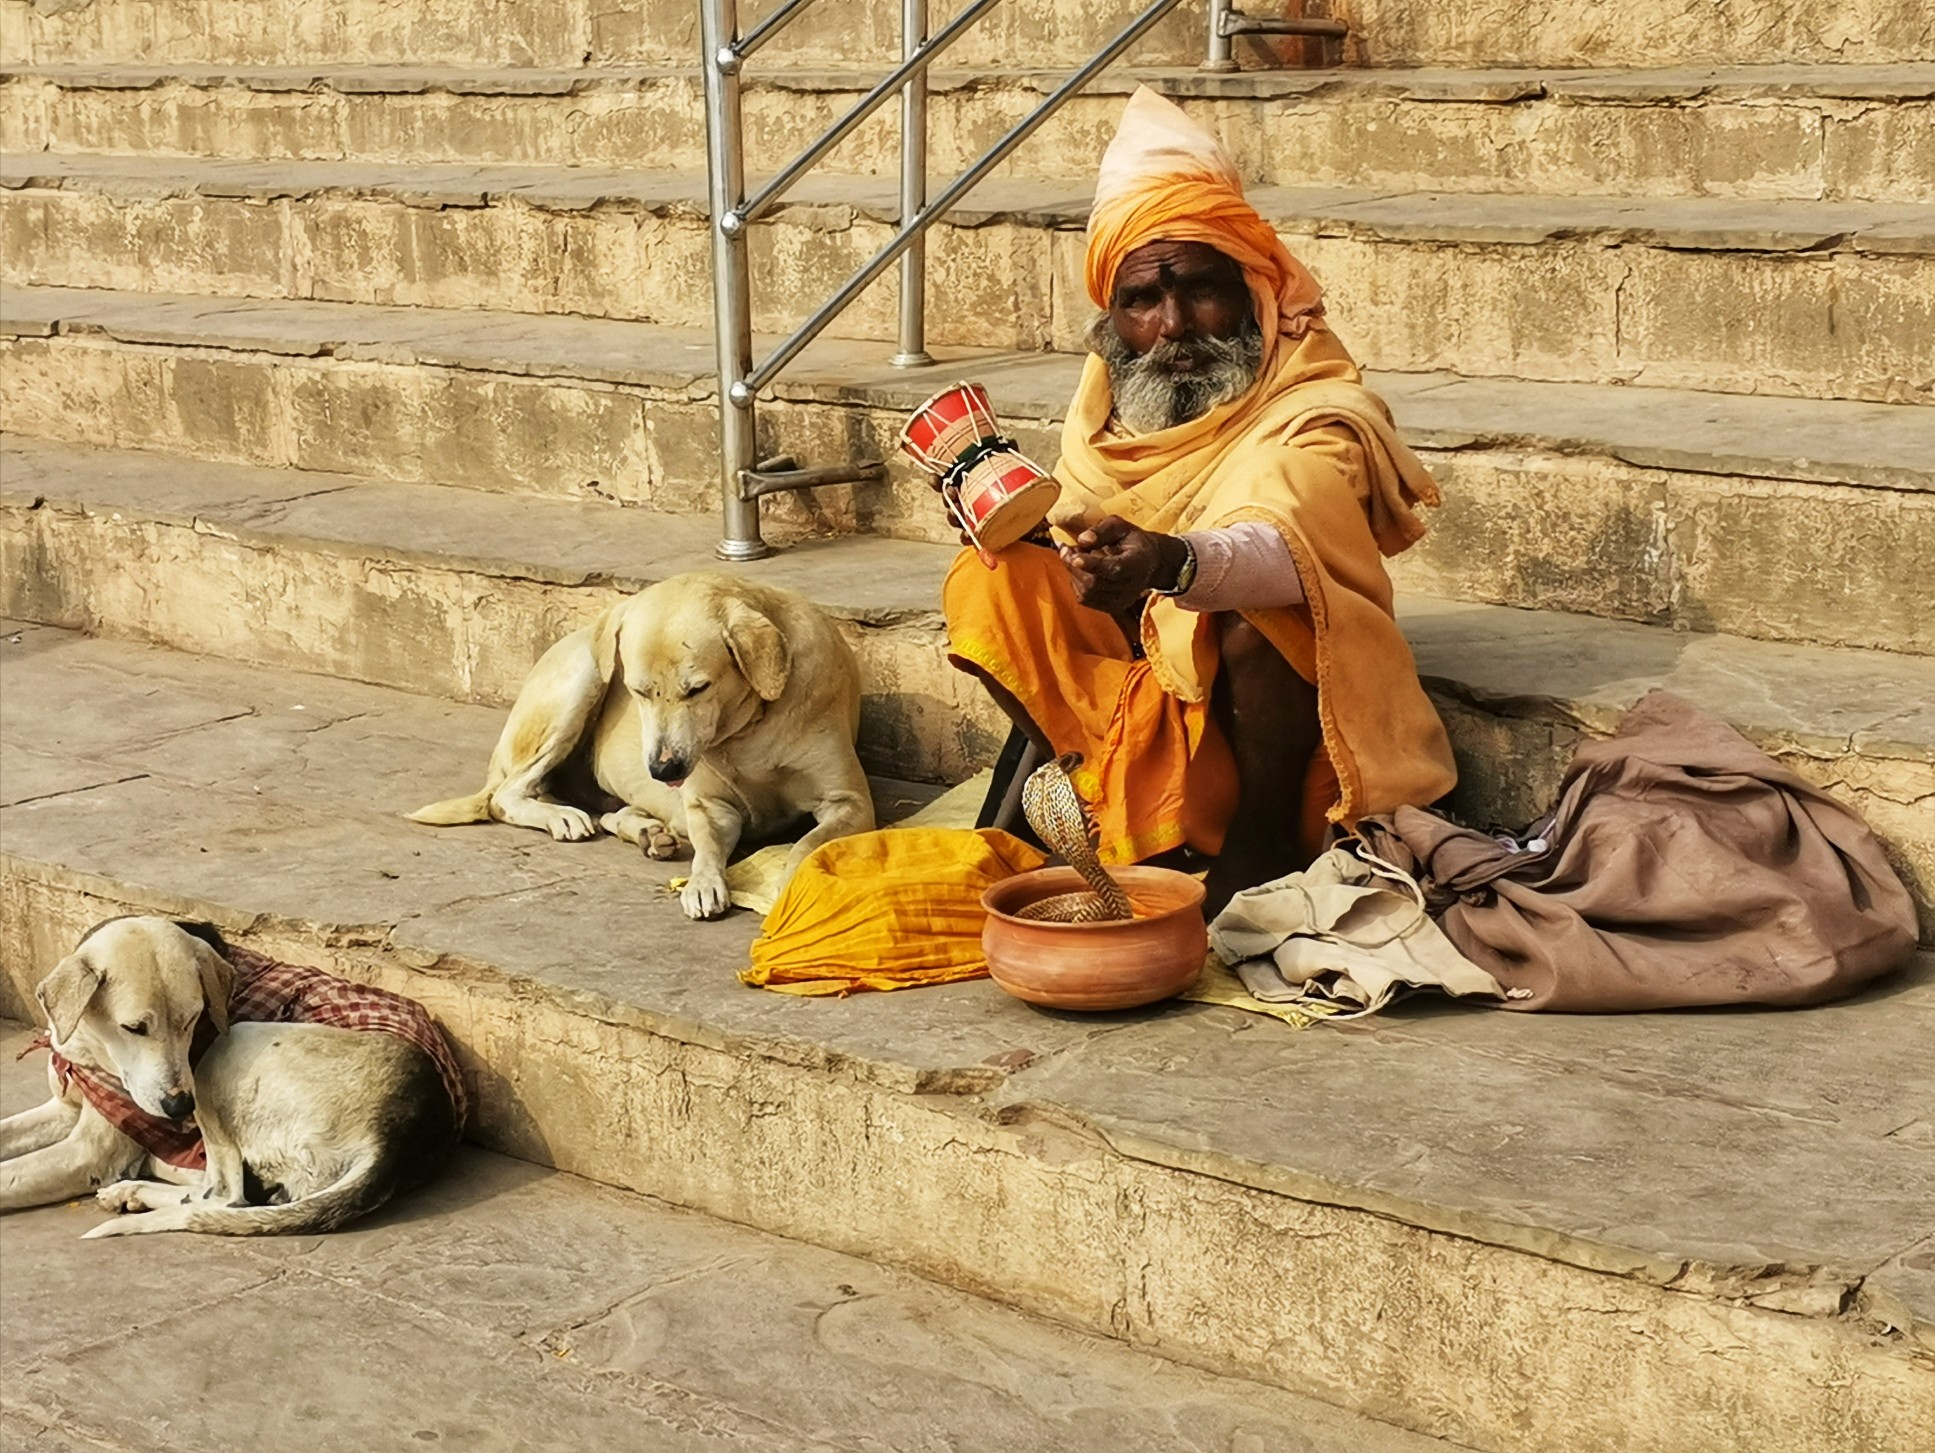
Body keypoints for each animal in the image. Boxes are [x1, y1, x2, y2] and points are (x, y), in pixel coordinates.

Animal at [0, 920, 464, 1238]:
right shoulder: (63, 1109)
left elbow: (8, 1177)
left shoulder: (90, 1153)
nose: (179, 1108)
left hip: (229, 1048)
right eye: (134, 1027)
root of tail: (401, 1135)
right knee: (224, 1198)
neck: (88, 1046)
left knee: (226, 1194)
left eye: (193, 1019)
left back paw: (139, 1188)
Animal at [408, 572, 878, 920]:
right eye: (637, 691)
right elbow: (708, 847)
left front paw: (789, 884)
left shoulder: (850, 802)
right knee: (504, 797)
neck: (748, 732)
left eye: (698, 689)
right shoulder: (711, 807)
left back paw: (648, 833)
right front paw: (703, 883)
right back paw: (564, 817)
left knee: (610, 813)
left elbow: (807, 844)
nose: (663, 770)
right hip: (582, 678)